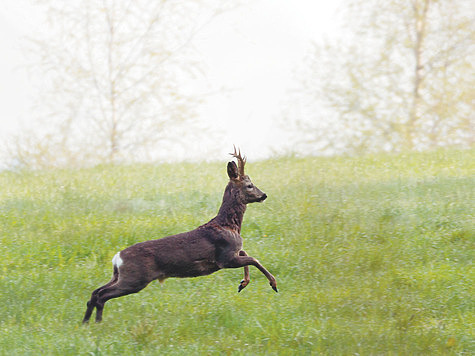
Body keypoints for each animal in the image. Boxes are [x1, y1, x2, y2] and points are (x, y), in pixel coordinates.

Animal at [83, 147, 278, 322]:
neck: (230, 226)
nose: (264, 195)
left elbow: (247, 254)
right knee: (102, 294)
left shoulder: (232, 253)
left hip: (119, 276)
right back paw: (97, 322)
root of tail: (117, 258)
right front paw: (273, 284)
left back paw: (87, 323)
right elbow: (254, 259)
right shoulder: (224, 258)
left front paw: (243, 284)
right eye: (249, 186)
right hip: (134, 278)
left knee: (95, 292)